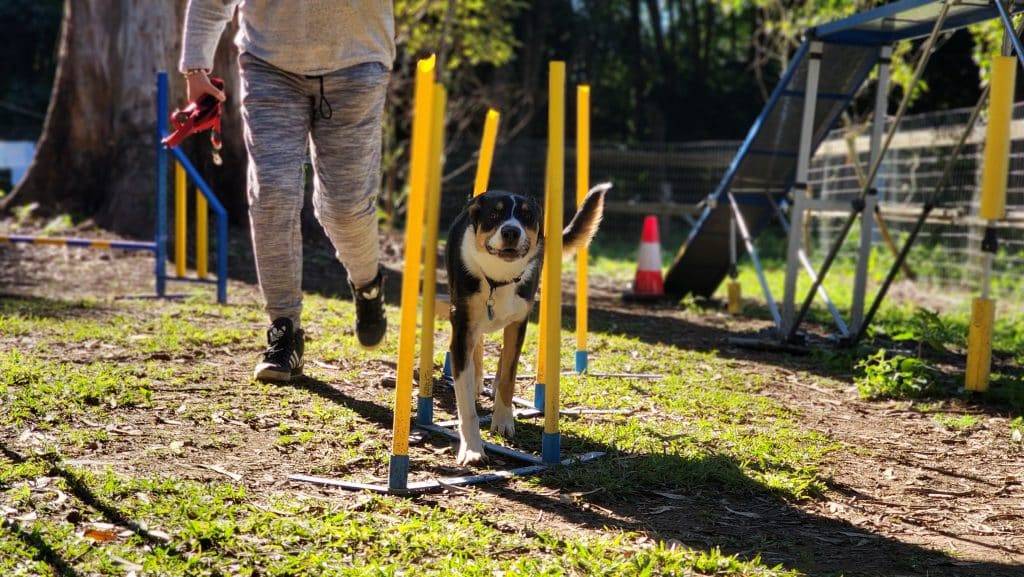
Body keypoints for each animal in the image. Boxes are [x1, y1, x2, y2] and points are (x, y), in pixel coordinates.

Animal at [446, 182, 606, 467]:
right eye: (495, 214)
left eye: (527, 216)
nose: (511, 231)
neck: (497, 279)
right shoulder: (463, 327)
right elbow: (466, 402)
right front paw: (472, 448)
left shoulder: (518, 323)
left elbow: (509, 377)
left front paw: (502, 420)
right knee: (478, 348)